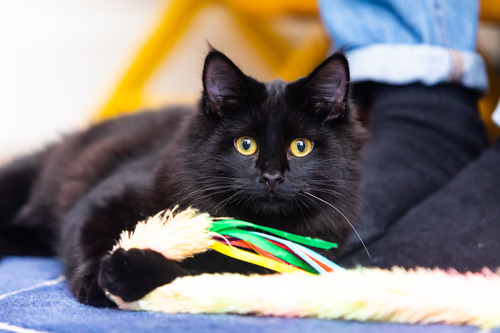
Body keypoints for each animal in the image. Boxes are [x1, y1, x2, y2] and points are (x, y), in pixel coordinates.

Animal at [0, 49, 366, 306]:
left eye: (300, 147)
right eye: (245, 144)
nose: (272, 176)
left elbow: (185, 274)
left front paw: (128, 272)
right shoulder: (101, 201)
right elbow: (93, 239)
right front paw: (98, 283)